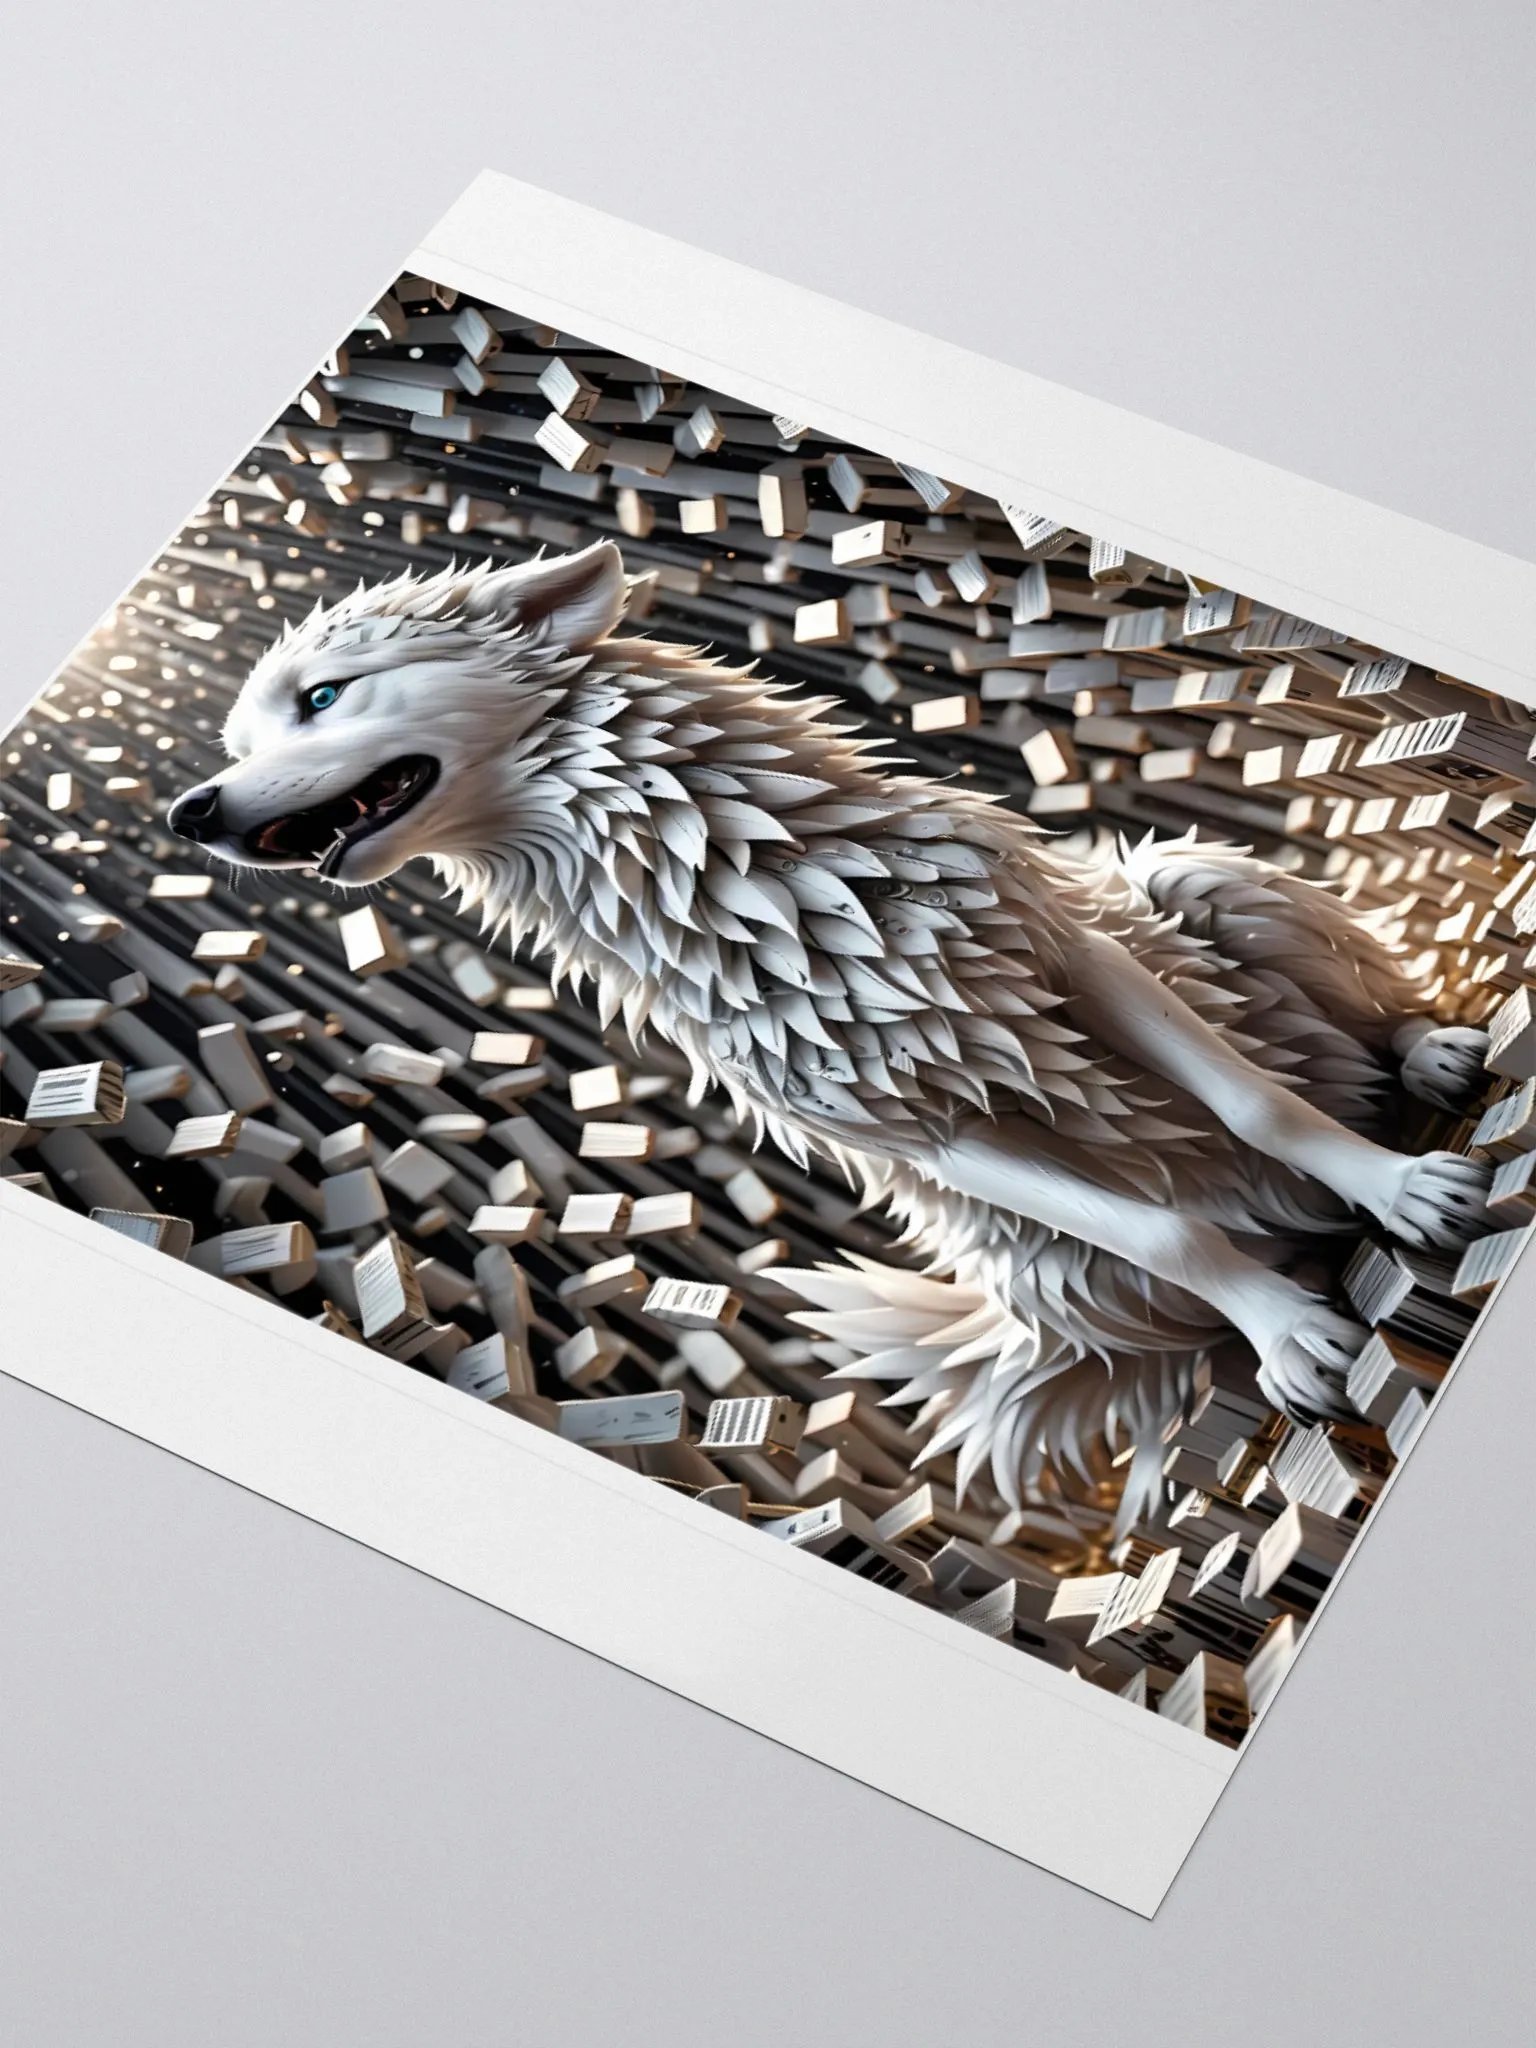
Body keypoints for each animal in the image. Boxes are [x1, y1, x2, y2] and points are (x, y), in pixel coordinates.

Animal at [168, 540, 1492, 1522]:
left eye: (322, 698)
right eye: (239, 744)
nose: (191, 811)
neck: (756, 887)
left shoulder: (1072, 956)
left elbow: (1260, 1101)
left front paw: (1403, 1190)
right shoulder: (913, 1131)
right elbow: (1173, 1233)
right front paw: (1290, 1331)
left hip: (1195, 877)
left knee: (1346, 1032)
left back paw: (1427, 1061)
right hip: (1048, 1263)